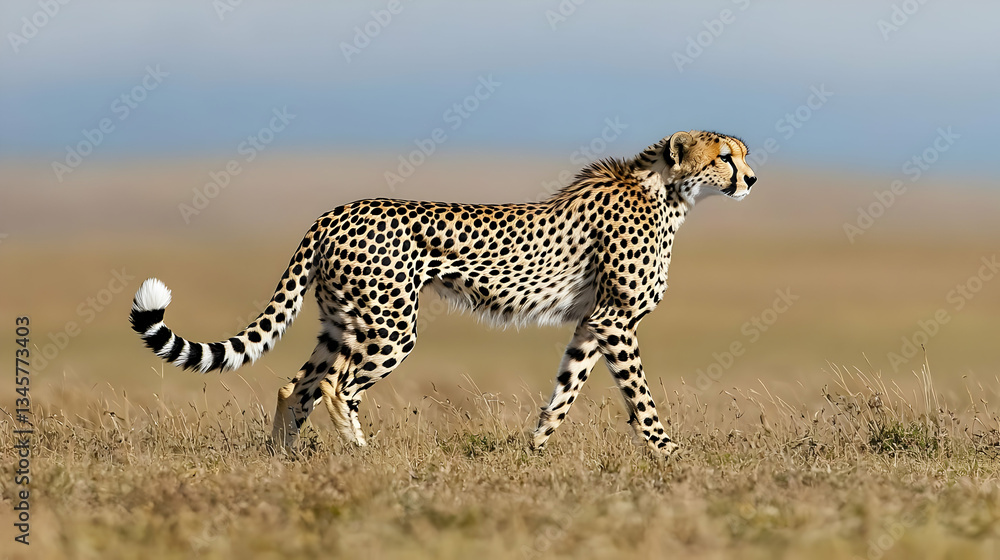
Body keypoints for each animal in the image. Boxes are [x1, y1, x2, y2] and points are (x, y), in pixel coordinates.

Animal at [130, 130, 756, 459]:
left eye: (743, 154)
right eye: (724, 156)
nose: (752, 179)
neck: (669, 193)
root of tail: (334, 211)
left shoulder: (590, 323)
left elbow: (565, 391)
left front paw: (534, 451)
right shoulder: (616, 321)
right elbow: (639, 398)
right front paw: (670, 455)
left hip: (343, 322)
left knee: (297, 383)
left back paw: (281, 458)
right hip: (390, 328)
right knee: (337, 387)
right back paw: (363, 455)